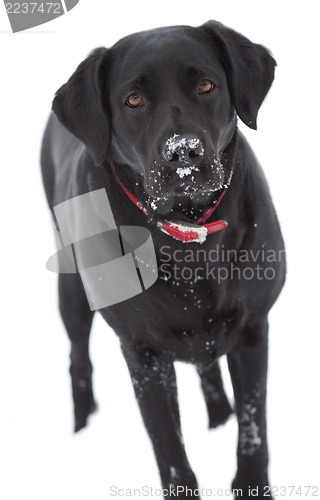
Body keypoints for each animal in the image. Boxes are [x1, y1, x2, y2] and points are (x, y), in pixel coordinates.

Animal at [42, 20, 284, 500]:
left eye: (206, 85)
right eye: (133, 99)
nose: (183, 152)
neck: (187, 236)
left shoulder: (252, 329)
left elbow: (253, 433)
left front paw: (251, 480)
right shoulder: (144, 352)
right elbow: (170, 452)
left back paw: (219, 416)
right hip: (71, 290)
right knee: (78, 358)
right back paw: (81, 427)